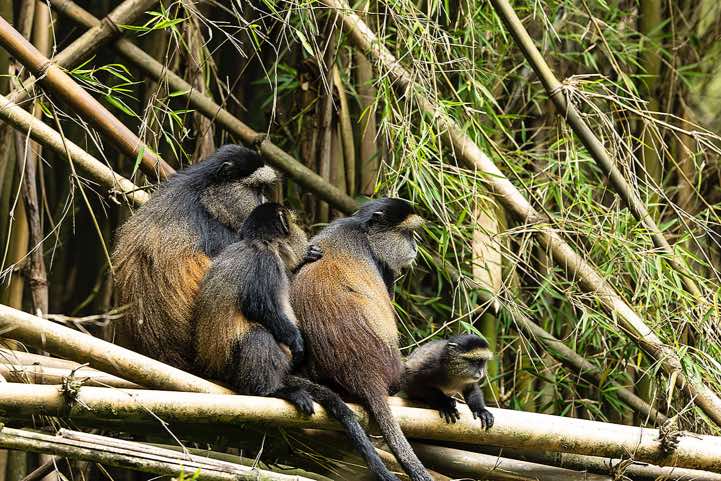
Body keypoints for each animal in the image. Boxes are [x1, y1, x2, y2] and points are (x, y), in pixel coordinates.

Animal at [193, 202, 401, 481]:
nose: (300, 229)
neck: (257, 242)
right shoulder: (265, 261)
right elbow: (260, 309)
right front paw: (296, 342)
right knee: (259, 335)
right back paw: (270, 391)